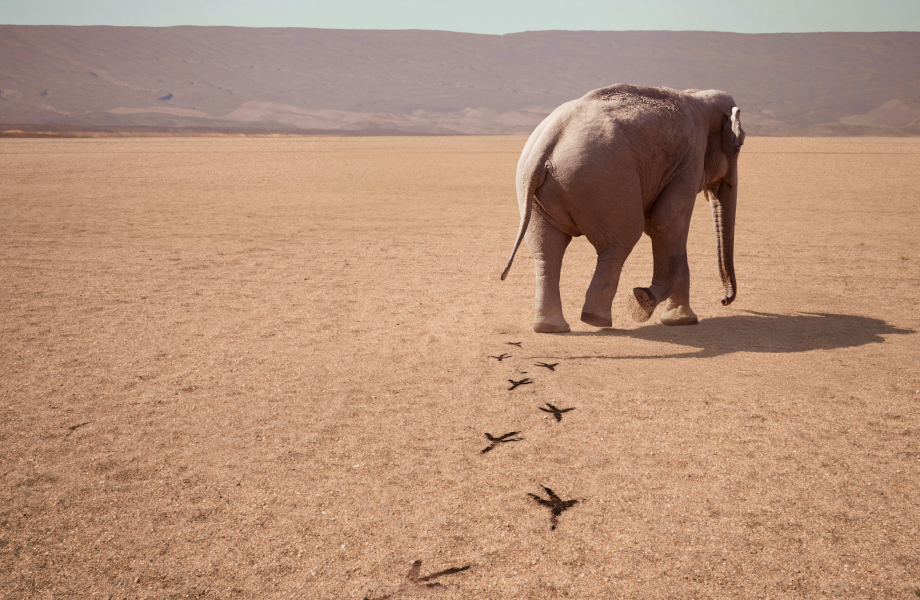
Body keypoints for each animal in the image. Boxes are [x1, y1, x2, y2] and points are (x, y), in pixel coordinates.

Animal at [501, 84, 745, 333]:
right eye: (738, 147)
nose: (724, 300)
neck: (699, 97)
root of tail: (547, 142)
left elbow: (663, 229)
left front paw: (680, 321)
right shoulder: (689, 161)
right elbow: (668, 221)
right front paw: (643, 303)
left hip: (535, 191)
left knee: (547, 249)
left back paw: (551, 327)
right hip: (605, 182)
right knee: (620, 242)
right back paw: (596, 319)